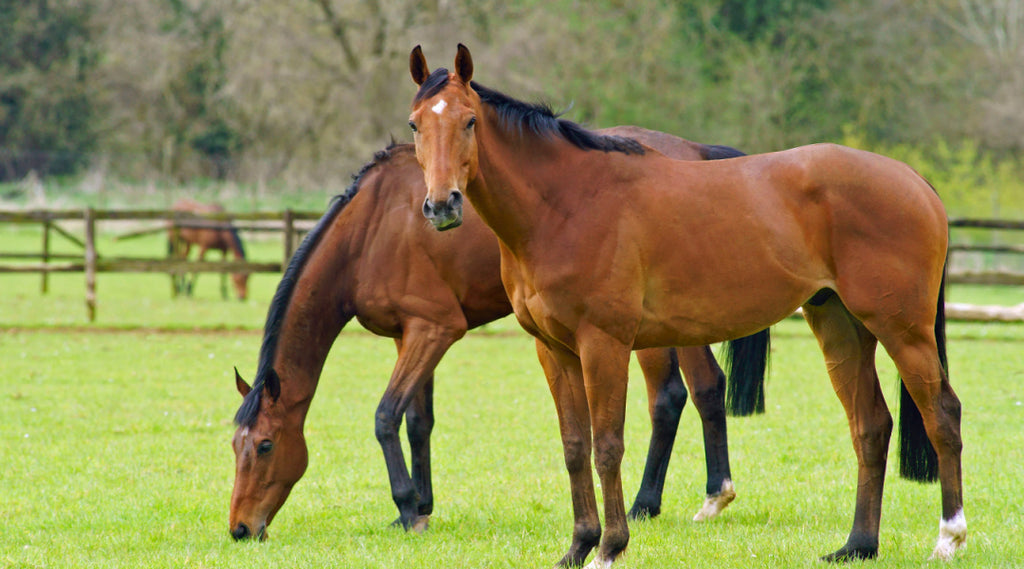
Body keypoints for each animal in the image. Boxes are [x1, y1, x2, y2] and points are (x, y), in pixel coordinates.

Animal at [226, 133, 770, 540]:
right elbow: (418, 421)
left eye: (267, 445)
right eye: (235, 446)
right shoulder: (410, 336)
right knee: (694, 392)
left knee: (681, 394)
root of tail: (695, 152)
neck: (372, 230)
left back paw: (665, 500)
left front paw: (406, 509)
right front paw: (422, 505)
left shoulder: (434, 330)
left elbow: (385, 417)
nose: (240, 529)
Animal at [409, 45, 966, 569]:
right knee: (871, 426)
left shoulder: (603, 344)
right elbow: (574, 448)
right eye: (416, 124)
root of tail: (913, 180)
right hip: (841, 327)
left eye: (469, 121)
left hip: (903, 330)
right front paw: (577, 547)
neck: (566, 204)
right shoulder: (554, 350)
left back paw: (948, 539)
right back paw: (857, 546)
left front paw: (609, 548)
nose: (442, 205)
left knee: (942, 415)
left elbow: (607, 445)